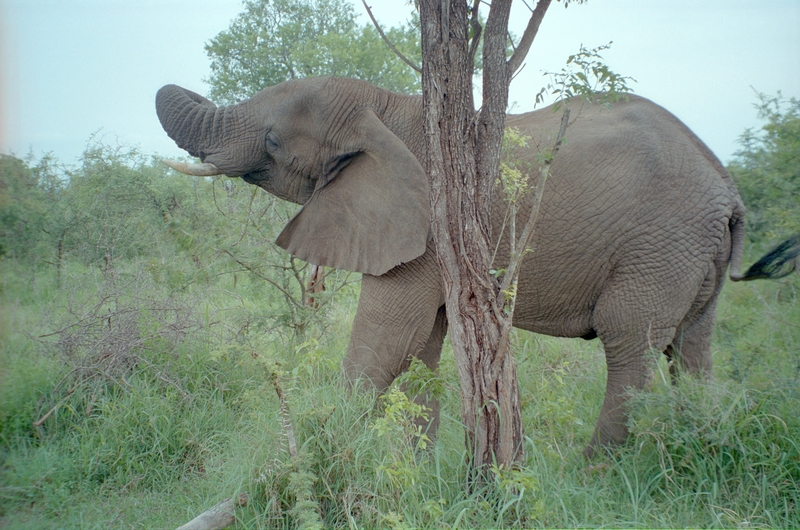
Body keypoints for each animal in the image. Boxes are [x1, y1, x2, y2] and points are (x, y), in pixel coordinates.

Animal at [156, 76, 800, 456]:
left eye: (272, 140)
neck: (387, 107)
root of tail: (728, 189)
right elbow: (421, 346)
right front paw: (416, 467)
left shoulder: (425, 227)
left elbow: (385, 341)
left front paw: (317, 454)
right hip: (691, 254)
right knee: (691, 350)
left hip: (660, 247)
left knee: (630, 346)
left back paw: (594, 472)